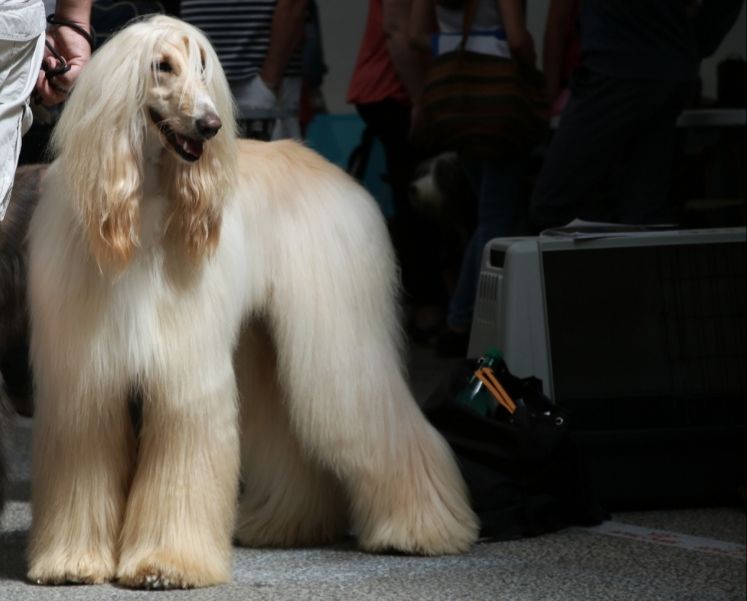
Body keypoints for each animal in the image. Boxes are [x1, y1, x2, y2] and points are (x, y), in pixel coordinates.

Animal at [26, 16, 478, 589]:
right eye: (162, 66)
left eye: (202, 67)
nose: (210, 125)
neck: (143, 202)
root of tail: (340, 176)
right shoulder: (85, 379)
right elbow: (84, 461)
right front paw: (72, 559)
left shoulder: (186, 370)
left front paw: (166, 562)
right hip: (267, 344)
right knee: (294, 437)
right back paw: (290, 524)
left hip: (337, 341)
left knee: (386, 423)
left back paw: (424, 528)